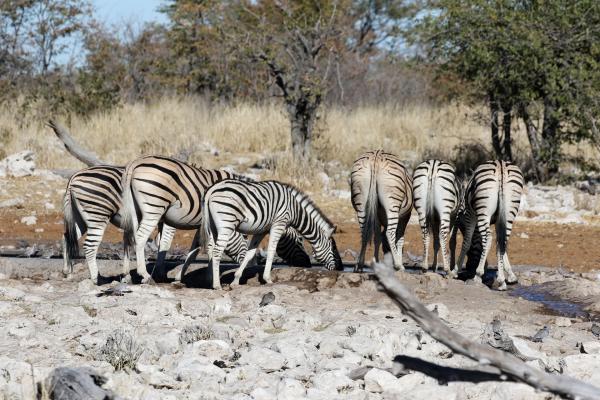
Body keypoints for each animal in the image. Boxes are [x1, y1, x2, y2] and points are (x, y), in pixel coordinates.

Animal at [120, 155, 312, 282]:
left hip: (135, 210)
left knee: (128, 238)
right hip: (154, 206)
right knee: (139, 237)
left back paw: (127, 275)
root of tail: (135, 163)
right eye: (300, 240)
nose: (308, 264)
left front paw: (179, 276)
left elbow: (194, 249)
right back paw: (144, 275)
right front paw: (210, 277)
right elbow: (206, 247)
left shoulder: (203, 224)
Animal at [202, 180, 342, 290]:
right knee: (217, 252)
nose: (340, 268)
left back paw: (210, 280)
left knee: (211, 249)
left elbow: (250, 254)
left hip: (213, 226)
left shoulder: (261, 230)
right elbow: (271, 251)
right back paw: (217, 285)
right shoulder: (279, 223)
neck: (295, 210)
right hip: (227, 223)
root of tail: (212, 189)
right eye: (334, 248)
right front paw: (268, 279)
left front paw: (236, 280)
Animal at [452, 160, 524, 290]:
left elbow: (466, 242)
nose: (469, 267)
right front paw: (510, 276)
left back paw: (478, 275)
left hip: (483, 211)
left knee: (489, 238)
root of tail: (500, 166)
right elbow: (500, 245)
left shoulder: (470, 216)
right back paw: (501, 281)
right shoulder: (499, 219)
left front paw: (455, 270)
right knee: (502, 241)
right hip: (509, 211)